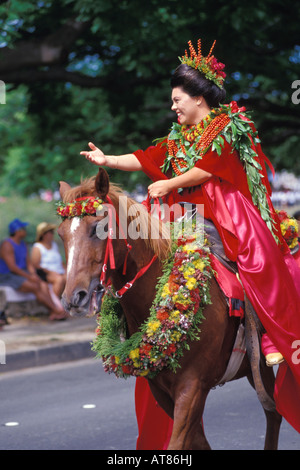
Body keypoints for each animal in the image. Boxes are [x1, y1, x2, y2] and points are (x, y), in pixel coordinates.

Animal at [57, 167, 282, 450]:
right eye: (61, 234)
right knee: (273, 413)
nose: (73, 297)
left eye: (100, 227)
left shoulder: (193, 387)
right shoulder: (162, 391)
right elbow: (197, 442)